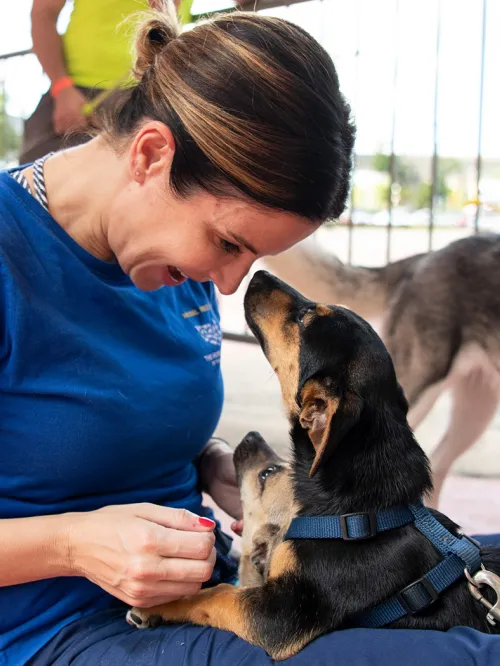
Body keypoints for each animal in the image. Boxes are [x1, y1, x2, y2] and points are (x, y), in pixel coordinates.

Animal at [127, 270, 500, 660]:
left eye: (306, 318)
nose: (260, 273)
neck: (355, 513)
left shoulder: (282, 614)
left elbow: (217, 595)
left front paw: (158, 604)